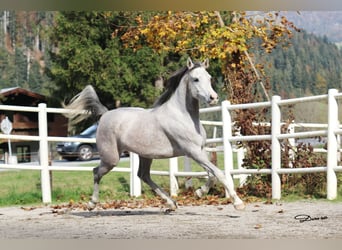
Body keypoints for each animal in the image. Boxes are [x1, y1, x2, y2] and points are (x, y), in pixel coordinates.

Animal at [64, 58, 244, 211]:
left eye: (209, 77)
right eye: (195, 79)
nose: (213, 98)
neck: (183, 116)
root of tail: (105, 114)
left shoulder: (201, 150)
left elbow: (212, 174)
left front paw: (199, 192)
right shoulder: (193, 152)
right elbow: (219, 173)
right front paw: (238, 203)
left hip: (145, 155)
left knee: (143, 175)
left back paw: (171, 204)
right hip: (111, 158)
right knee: (96, 172)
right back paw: (91, 204)